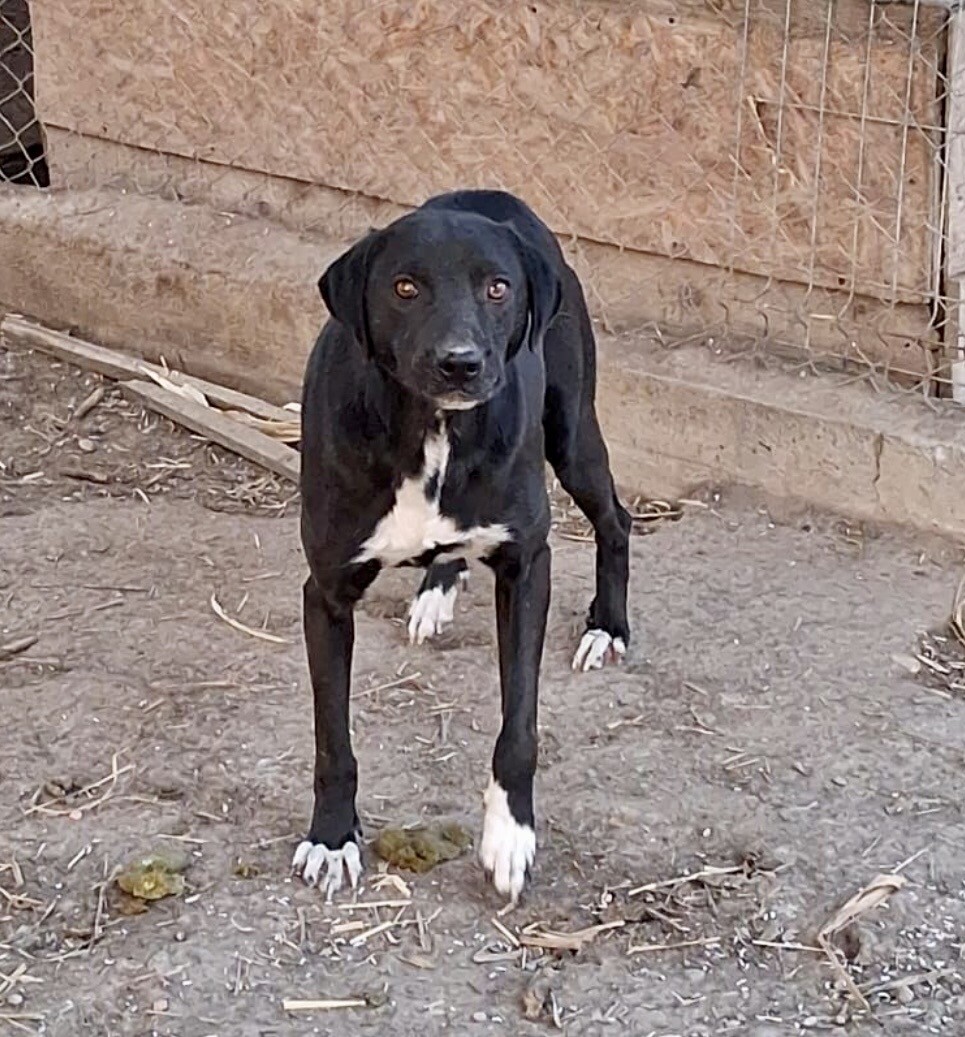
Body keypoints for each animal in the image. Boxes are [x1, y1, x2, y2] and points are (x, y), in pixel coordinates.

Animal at [292, 190, 631, 903]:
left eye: (497, 288)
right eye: (405, 287)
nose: (460, 362)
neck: (435, 430)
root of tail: (490, 193)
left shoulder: (528, 568)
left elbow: (520, 725)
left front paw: (510, 836)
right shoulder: (326, 593)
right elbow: (332, 737)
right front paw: (332, 838)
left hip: (573, 431)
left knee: (616, 520)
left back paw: (607, 628)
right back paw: (436, 591)